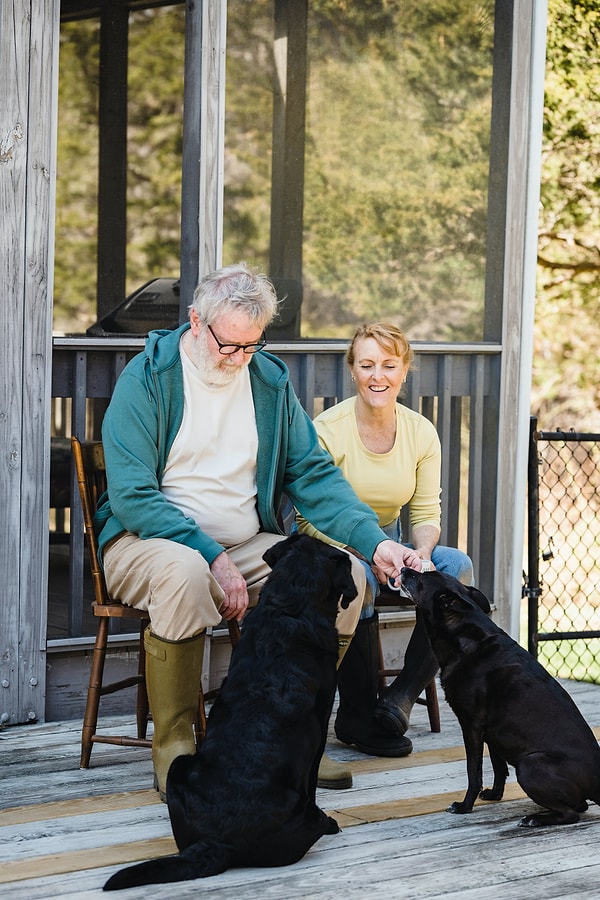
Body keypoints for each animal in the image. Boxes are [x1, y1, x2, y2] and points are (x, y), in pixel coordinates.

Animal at [103, 532, 356, 888]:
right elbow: (312, 779)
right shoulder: (319, 726)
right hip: (305, 816)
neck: (290, 608)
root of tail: (216, 843)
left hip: (180, 767)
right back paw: (329, 823)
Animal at [398, 568, 600, 828]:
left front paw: (465, 806)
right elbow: (498, 765)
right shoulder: (492, 731)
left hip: (529, 765)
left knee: (572, 814)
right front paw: (495, 794)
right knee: (579, 806)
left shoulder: (472, 726)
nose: (403, 569)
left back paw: (534, 819)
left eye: (421, 578)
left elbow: (473, 771)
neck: (467, 638)